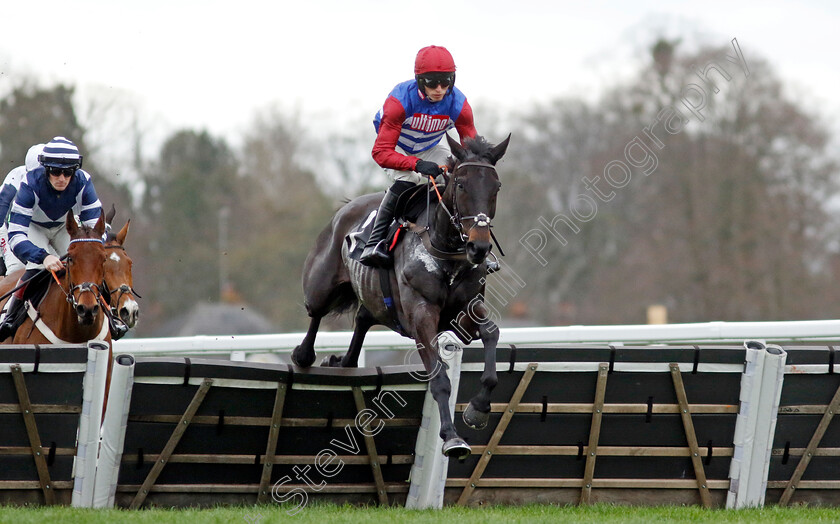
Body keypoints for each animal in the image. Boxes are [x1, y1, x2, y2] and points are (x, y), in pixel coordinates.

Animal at [292, 134, 508, 458]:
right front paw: (451, 437)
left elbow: (492, 333)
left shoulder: (465, 311)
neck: (445, 250)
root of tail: (345, 208)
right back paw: (304, 354)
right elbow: (439, 377)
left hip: (375, 300)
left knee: (362, 318)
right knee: (315, 313)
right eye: (461, 185)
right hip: (321, 285)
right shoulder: (421, 316)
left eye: (496, 187)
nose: (479, 247)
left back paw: (343, 360)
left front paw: (478, 409)